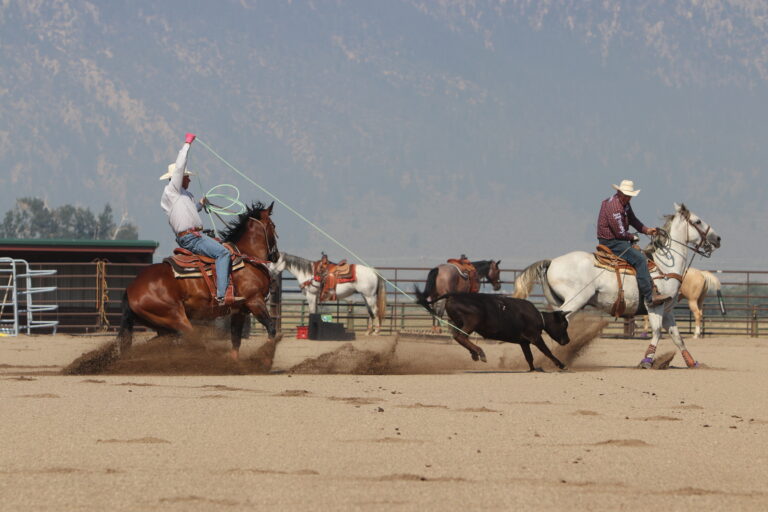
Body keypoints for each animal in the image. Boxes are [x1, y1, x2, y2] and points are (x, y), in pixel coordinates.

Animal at [118, 202, 280, 362]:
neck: (247, 257)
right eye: (273, 225)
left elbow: (236, 340)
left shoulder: (239, 310)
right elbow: (271, 329)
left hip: (164, 327)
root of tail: (131, 288)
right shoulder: (255, 301)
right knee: (191, 341)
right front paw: (267, 356)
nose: (276, 255)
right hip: (177, 319)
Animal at [414, 288, 568, 368]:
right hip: (472, 321)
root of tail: (453, 294)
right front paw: (561, 364)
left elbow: (529, 357)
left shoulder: (524, 342)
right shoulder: (535, 337)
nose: (568, 340)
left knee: (458, 338)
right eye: (564, 324)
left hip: (458, 322)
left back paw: (475, 353)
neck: (539, 317)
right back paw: (480, 352)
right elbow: (547, 351)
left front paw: (534, 369)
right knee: (461, 337)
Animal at [516, 203, 720, 368]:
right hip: (575, 300)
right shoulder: (655, 305)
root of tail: (552, 262)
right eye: (698, 221)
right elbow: (656, 332)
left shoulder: (668, 310)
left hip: (560, 303)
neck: (664, 266)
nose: (718, 239)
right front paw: (647, 361)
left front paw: (693, 363)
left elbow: (677, 337)